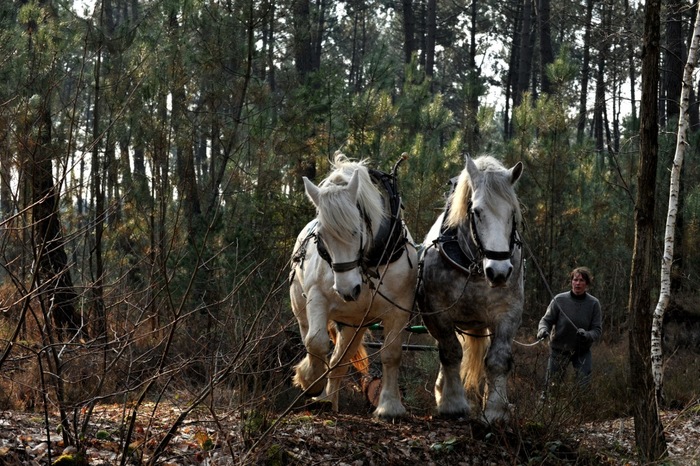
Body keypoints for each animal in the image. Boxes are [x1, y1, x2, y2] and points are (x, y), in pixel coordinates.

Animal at [288, 155, 418, 420]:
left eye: (356, 230)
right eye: (322, 236)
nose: (347, 290)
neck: (367, 264)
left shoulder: (399, 309)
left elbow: (392, 354)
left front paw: (390, 406)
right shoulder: (317, 297)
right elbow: (316, 341)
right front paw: (311, 380)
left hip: (353, 325)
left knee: (340, 359)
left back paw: (329, 399)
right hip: (303, 307)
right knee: (309, 336)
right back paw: (320, 391)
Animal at [416, 156, 524, 422]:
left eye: (512, 213)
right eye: (476, 212)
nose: (499, 271)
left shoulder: (508, 313)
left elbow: (498, 360)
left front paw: (495, 410)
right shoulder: (437, 312)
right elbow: (451, 352)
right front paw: (453, 403)